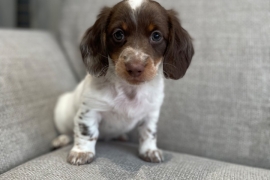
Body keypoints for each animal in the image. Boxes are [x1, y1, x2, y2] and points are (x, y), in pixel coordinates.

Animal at [53, 0, 192, 166]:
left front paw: (149, 151)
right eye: (118, 34)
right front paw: (82, 152)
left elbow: (148, 133)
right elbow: (87, 131)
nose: (135, 67)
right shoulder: (90, 109)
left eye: (156, 35)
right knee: (68, 131)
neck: (130, 90)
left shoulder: (151, 114)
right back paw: (61, 139)